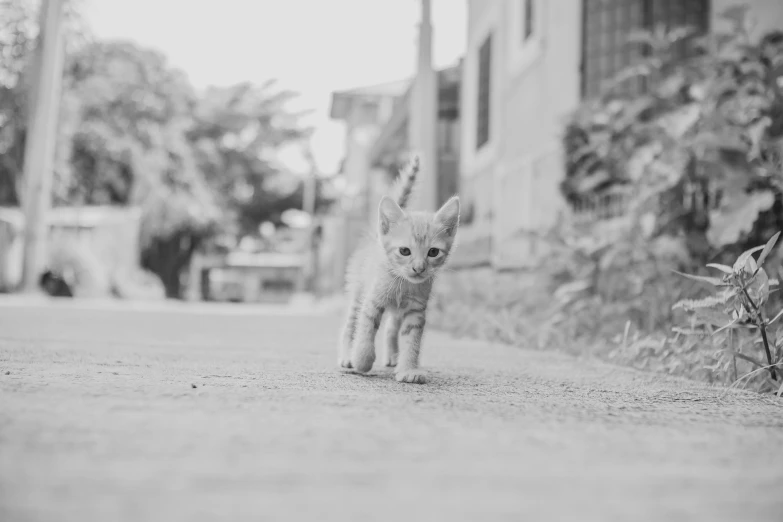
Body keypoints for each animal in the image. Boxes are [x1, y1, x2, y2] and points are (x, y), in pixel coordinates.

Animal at [336, 155, 460, 382]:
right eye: (404, 251)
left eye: (433, 252)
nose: (419, 268)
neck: (404, 283)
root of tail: (374, 238)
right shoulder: (373, 300)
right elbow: (365, 329)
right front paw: (362, 360)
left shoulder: (416, 310)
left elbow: (411, 340)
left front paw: (408, 369)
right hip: (358, 292)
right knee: (350, 325)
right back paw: (347, 356)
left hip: (397, 309)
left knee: (391, 328)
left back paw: (393, 357)